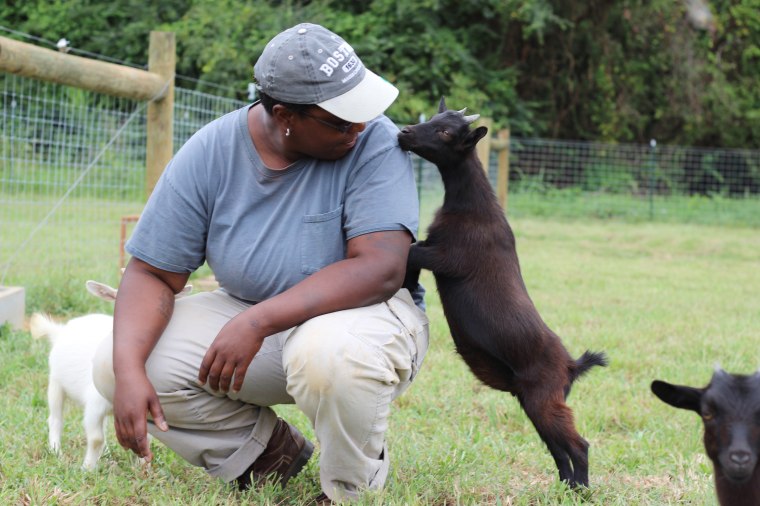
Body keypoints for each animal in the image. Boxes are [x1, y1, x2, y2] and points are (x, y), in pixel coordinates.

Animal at [400, 97, 608, 488]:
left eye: (446, 131)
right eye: (433, 118)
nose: (404, 133)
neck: (471, 205)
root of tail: (572, 365)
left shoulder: (449, 257)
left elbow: (410, 251)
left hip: (543, 400)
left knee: (579, 445)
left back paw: (583, 490)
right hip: (533, 402)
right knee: (558, 449)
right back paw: (566, 488)